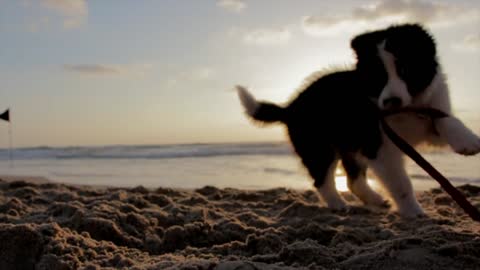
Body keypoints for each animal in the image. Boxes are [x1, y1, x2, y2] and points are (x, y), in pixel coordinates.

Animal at [236, 23, 480, 217]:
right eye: (378, 76)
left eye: (405, 69)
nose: (391, 101)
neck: (407, 109)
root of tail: (291, 107)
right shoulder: (380, 146)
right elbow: (401, 182)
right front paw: (413, 212)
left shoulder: (428, 117)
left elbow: (444, 118)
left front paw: (467, 141)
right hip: (320, 147)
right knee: (322, 179)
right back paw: (338, 204)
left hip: (350, 145)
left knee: (352, 180)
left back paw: (375, 200)